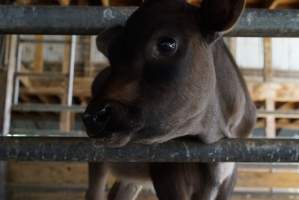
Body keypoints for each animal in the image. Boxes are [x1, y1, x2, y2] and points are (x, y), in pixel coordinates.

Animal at [82, 0, 258, 199]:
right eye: (112, 53)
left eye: (166, 44)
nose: (94, 115)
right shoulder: (167, 173)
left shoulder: (230, 176)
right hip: (97, 161)